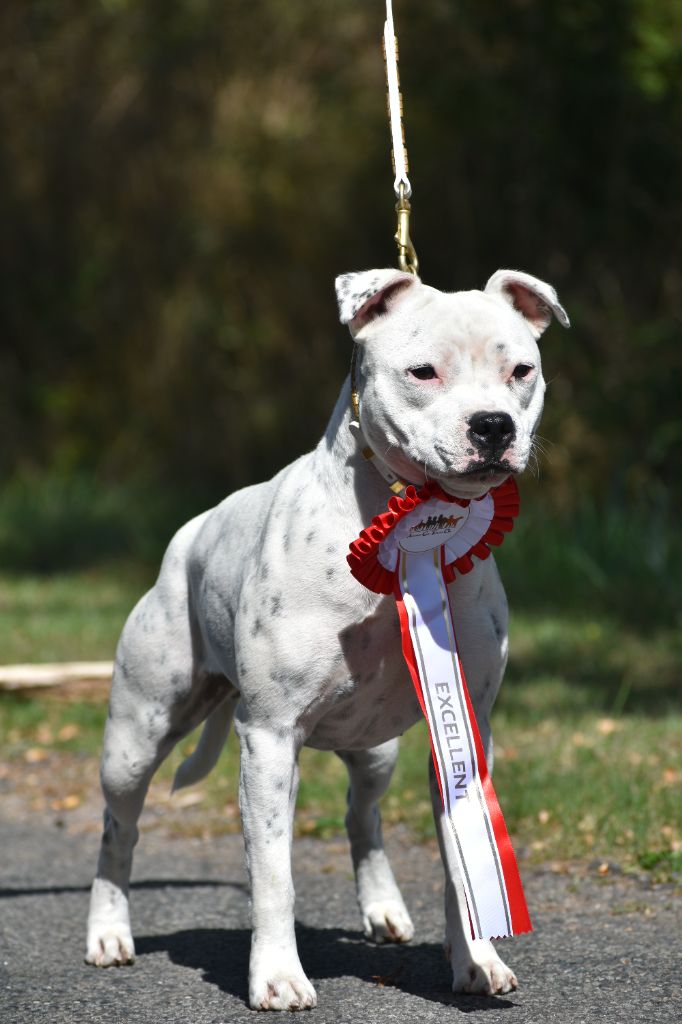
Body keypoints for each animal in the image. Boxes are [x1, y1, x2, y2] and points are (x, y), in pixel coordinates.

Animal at [86, 267, 568, 1010]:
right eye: (423, 371)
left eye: (520, 370)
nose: (494, 425)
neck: (397, 515)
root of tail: (189, 536)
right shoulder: (269, 738)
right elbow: (273, 875)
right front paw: (278, 977)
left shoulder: (462, 730)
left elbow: (463, 863)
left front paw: (476, 962)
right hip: (135, 740)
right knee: (119, 829)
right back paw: (109, 933)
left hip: (375, 750)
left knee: (360, 815)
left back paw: (383, 909)